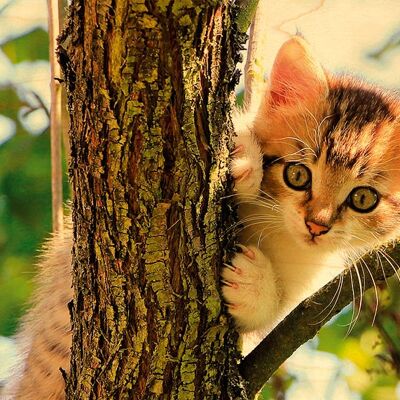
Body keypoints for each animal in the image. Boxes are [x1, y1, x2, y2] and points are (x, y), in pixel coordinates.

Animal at [223, 36, 400, 350]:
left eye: (363, 199)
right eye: (297, 175)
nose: (316, 225)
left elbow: (267, 321)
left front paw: (253, 286)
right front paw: (244, 156)